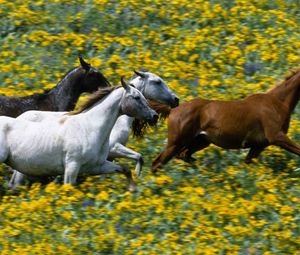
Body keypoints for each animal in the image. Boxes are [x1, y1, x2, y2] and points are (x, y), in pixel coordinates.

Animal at [9, 70, 178, 188]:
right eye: (157, 82)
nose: (176, 99)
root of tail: (18, 118)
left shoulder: (104, 159)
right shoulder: (114, 148)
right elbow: (138, 156)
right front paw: (137, 175)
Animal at [152, 67, 300, 172]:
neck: (277, 103)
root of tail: (173, 110)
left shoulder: (259, 145)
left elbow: (247, 162)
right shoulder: (276, 136)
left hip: (200, 141)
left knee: (184, 155)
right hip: (176, 142)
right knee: (157, 163)